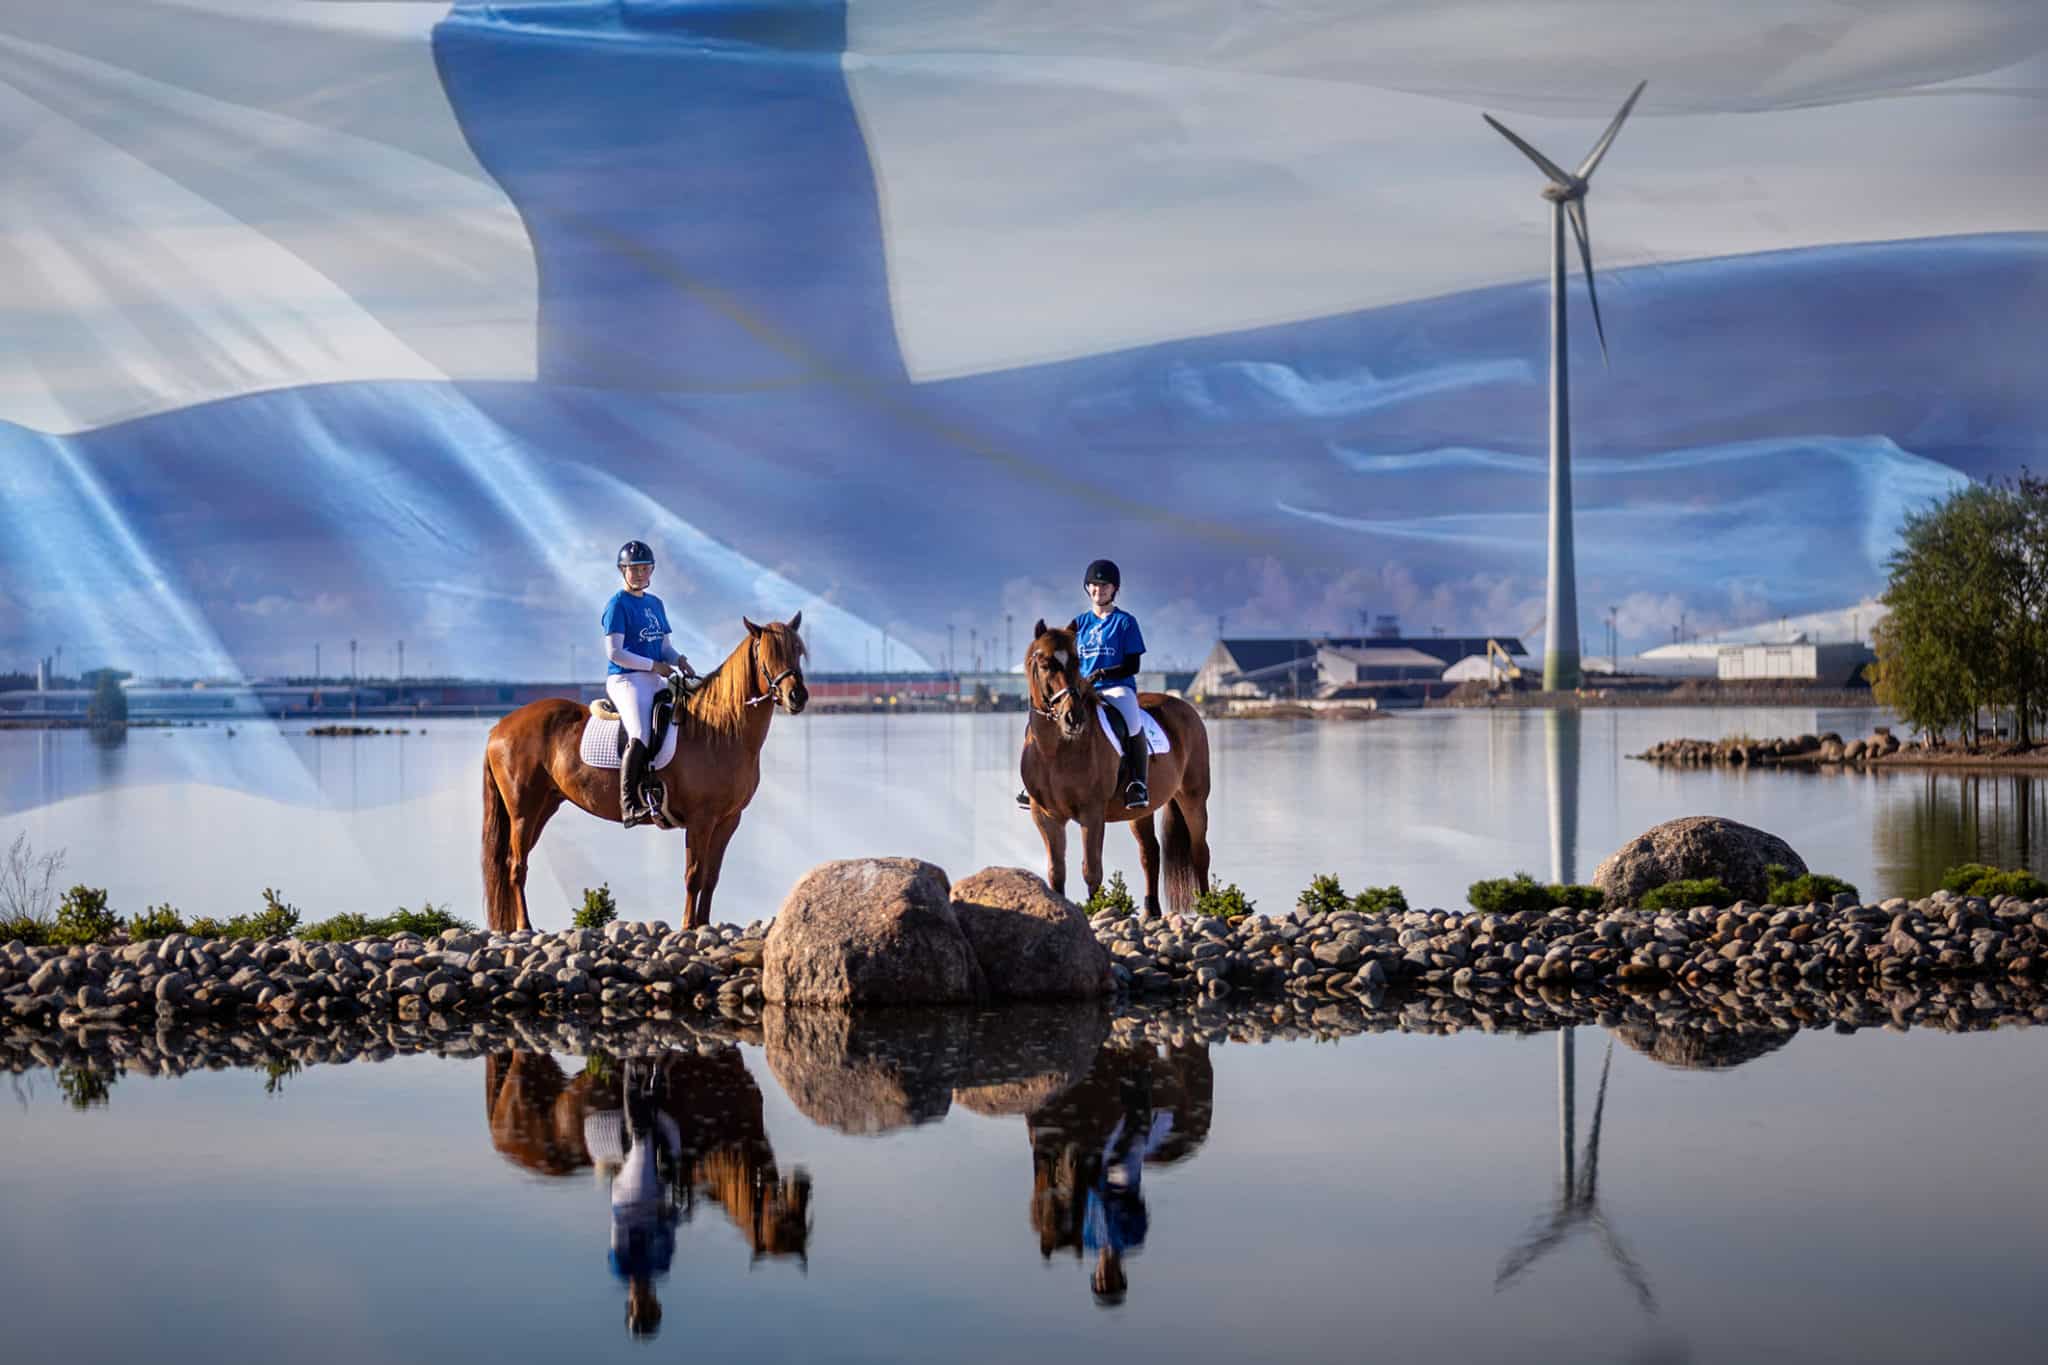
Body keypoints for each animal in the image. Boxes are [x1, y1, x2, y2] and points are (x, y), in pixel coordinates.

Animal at [481, 618, 806, 929]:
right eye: (768, 655)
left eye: (797, 651)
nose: (798, 696)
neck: (720, 730)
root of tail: (500, 727)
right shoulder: (700, 820)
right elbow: (694, 875)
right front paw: (688, 926)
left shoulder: (728, 820)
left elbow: (712, 877)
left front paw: (703, 924)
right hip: (523, 812)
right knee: (516, 866)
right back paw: (524, 926)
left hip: (544, 806)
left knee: (515, 862)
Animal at [1015, 622, 1204, 916]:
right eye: (1045, 664)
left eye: (1077, 661)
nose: (1074, 718)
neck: (1054, 752)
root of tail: (1186, 706)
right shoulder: (1045, 815)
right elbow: (1056, 871)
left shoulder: (1091, 813)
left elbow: (1091, 870)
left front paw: (1096, 912)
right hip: (1140, 811)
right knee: (1149, 852)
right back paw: (1151, 911)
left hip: (1193, 797)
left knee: (1199, 852)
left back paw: (1209, 904)